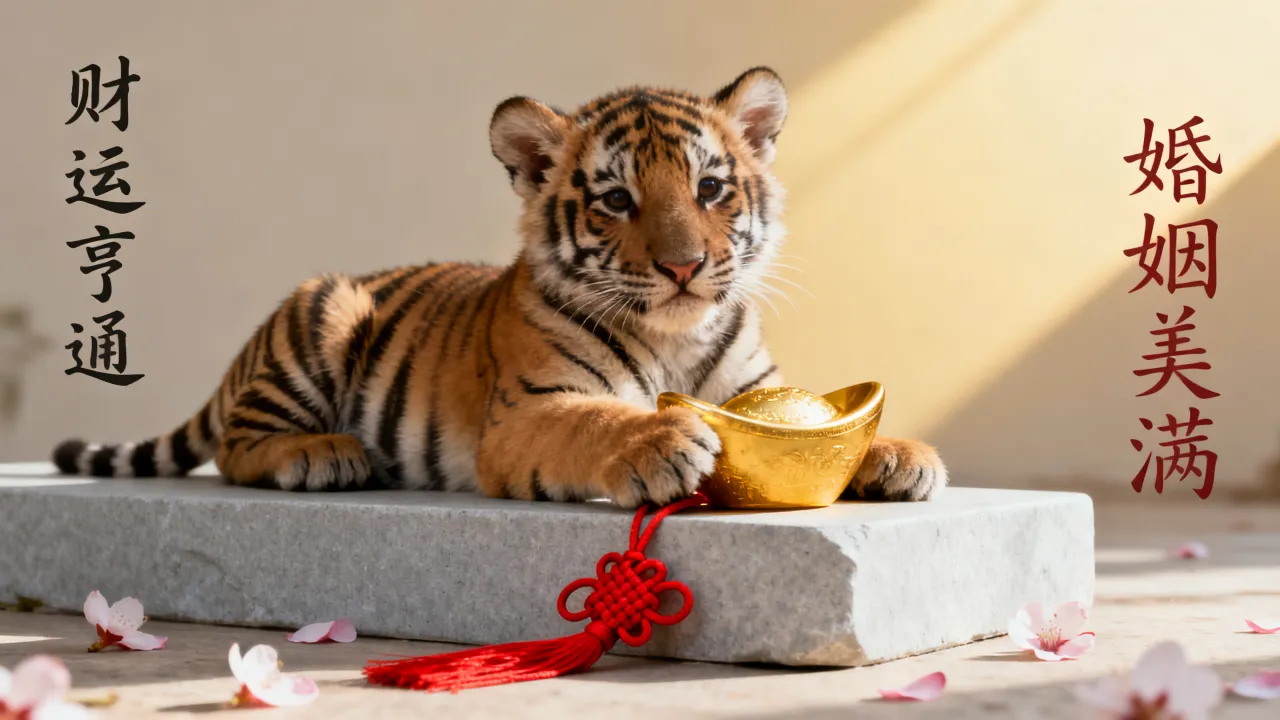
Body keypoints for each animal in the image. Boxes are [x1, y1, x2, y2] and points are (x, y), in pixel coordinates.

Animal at [51, 67, 947, 508]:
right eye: (617, 199)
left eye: (711, 189)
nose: (684, 266)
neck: (674, 336)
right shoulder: (528, 412)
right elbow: (596, 422)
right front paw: (659, 442)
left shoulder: (753, 387)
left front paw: (902, 454)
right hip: (324, 308)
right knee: (239, 447)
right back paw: (324, 456)